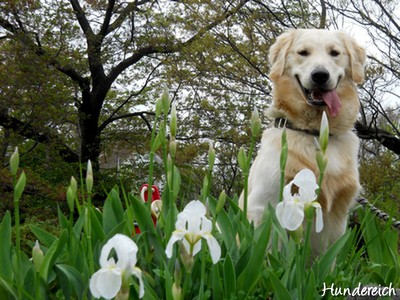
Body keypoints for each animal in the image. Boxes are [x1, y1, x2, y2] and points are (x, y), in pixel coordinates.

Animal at [239, 28, 368, 254]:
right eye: (303, 52)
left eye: (334, 53)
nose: (320, 75)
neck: (313, 131)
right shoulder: (264, 205)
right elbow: (267, 251)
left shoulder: (335, 216)